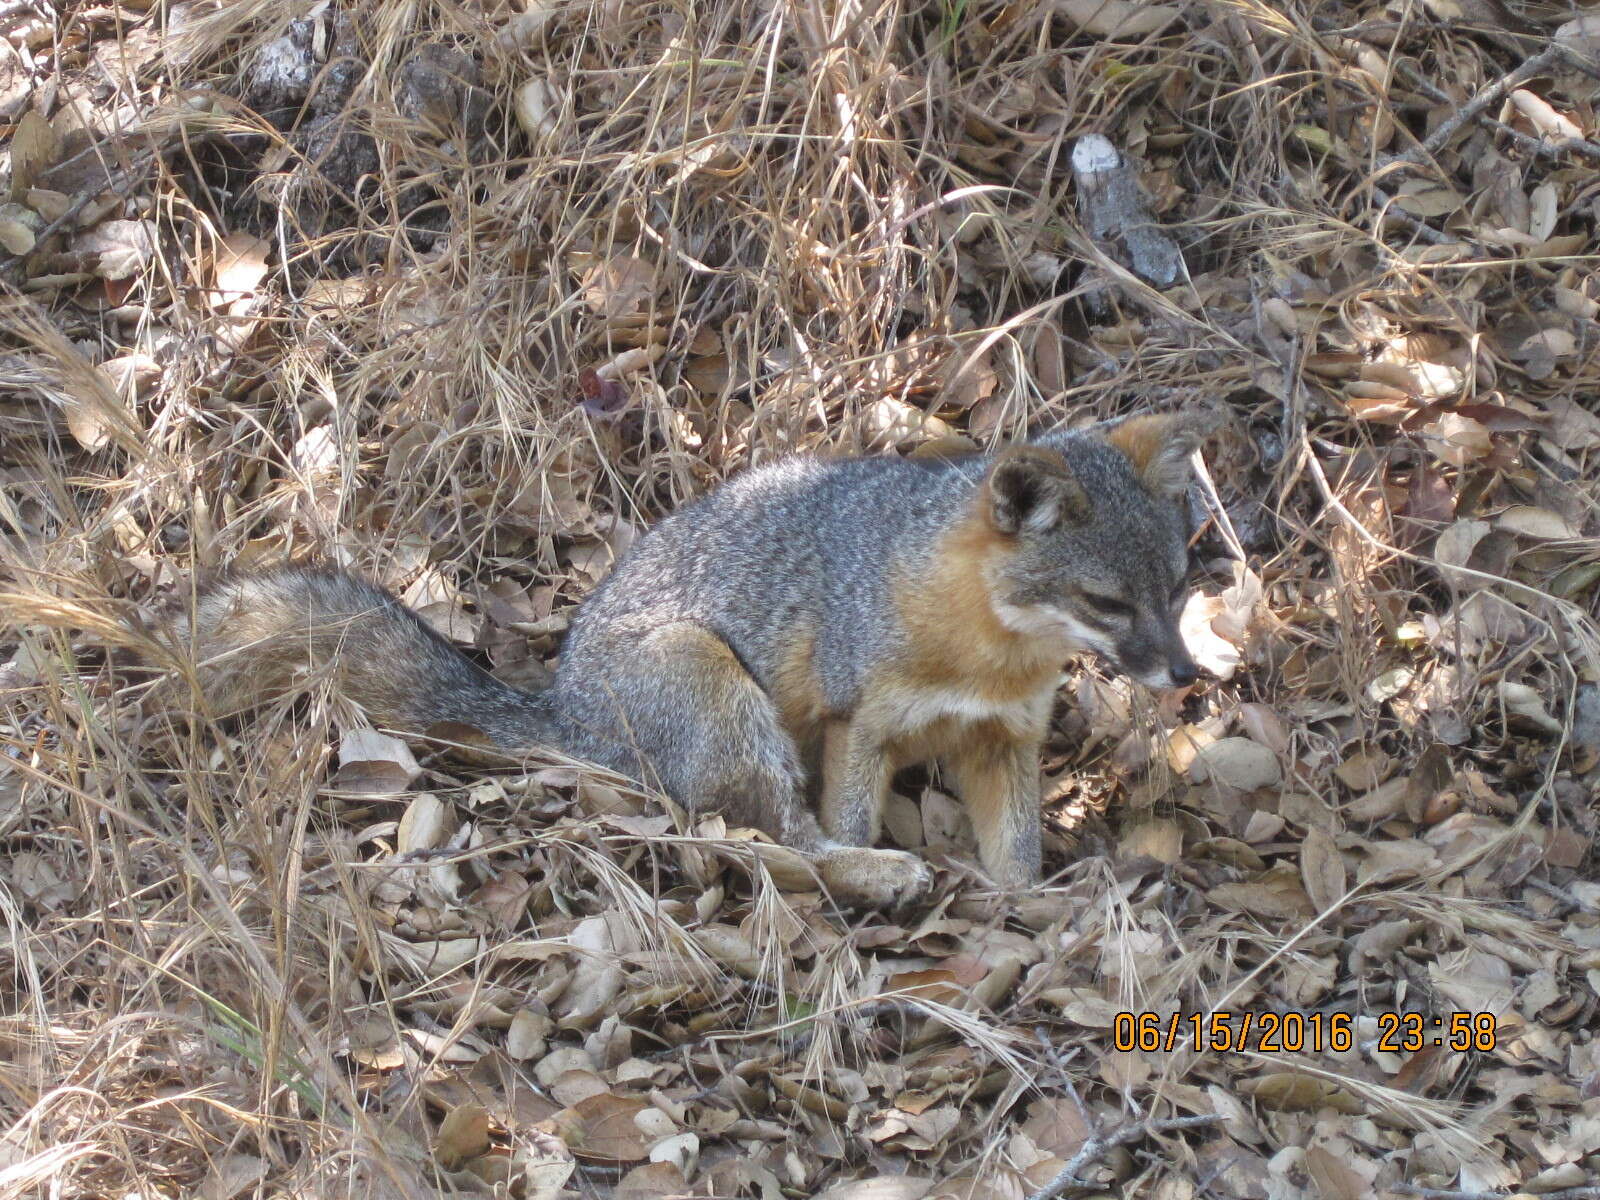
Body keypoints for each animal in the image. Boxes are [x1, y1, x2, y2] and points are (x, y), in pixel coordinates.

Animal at [162, 412, 1209, 902]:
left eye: (1174, 588)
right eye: (1108, 603)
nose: (1188, 677)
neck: (983, 656)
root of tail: (566, 709)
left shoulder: (1004, 742)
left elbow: (1019, 855)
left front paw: (1036, 910)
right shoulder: (859, 723)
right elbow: (843, 822)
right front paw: (885, 865)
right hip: (713, 678)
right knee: (786, 845)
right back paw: (880, 878)